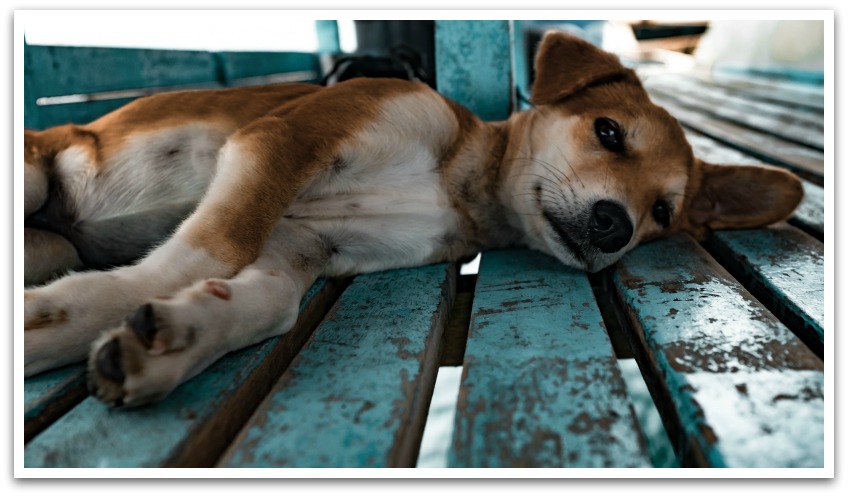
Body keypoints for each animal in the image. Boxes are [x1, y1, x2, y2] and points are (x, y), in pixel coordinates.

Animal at [21, 32, 800, 406]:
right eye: (608, 132)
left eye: (662, 211)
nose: (616, 225)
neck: (458, 184)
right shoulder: (282, 141)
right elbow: (213, 246)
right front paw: (81, 309)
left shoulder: (307, 244)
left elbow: (266, 303)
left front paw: (177, 338)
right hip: (32, 175)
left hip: (50, 240)